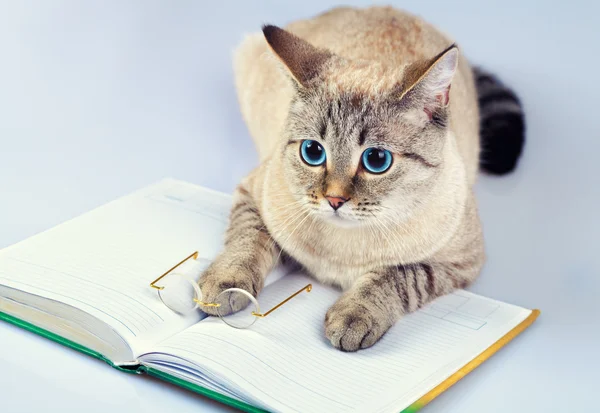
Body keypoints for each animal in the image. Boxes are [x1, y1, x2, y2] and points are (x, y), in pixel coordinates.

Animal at [199, 4, 524, 350]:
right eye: (312, 152)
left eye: (377, 160)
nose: (334, 199)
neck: (341, 249)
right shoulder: (253, 194)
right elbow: (246, 242)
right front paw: (225, 284)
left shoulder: (458, 262)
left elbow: (396, 276)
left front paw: (354, 314)